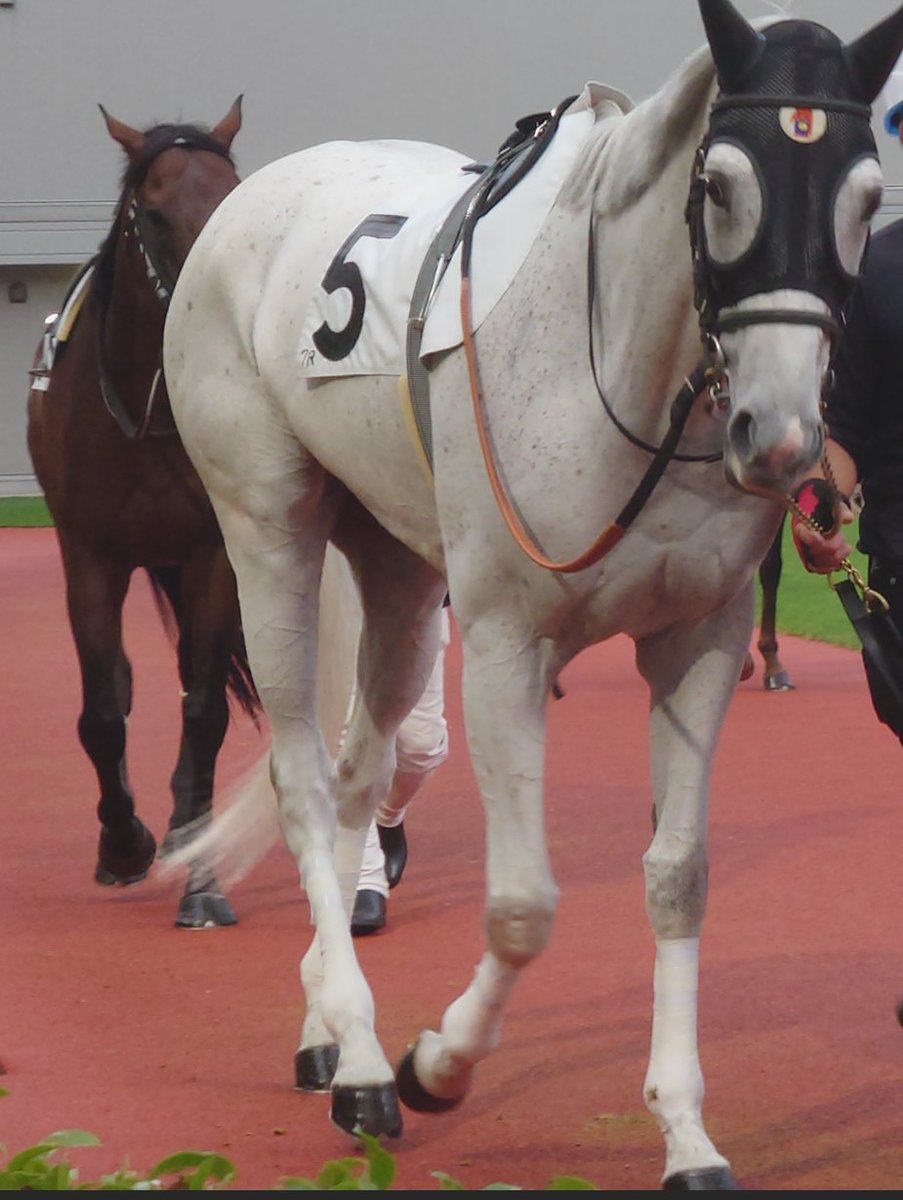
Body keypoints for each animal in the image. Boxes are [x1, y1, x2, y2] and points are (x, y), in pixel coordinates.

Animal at [25, 97, 265, 929]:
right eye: (153, 212)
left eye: (233, 193)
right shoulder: (88, 555)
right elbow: (103, 708)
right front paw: (122, 843)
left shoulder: (211, 555)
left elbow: (204, 710)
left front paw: (201, 879)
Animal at [161, 0, 903, 1187]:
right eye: (719, 185)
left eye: (866, 195)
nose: (782, 436)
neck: (620, 372)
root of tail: (253, 194)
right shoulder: (508, 642)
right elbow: (521, 906)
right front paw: (436, 1064)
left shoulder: (700, 638)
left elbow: (678, 876)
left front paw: (686, 1131)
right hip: (266, 526)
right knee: (304, 780)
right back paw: (364, 1062)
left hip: (397, 565)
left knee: (362, 769)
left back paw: (327, 1025)